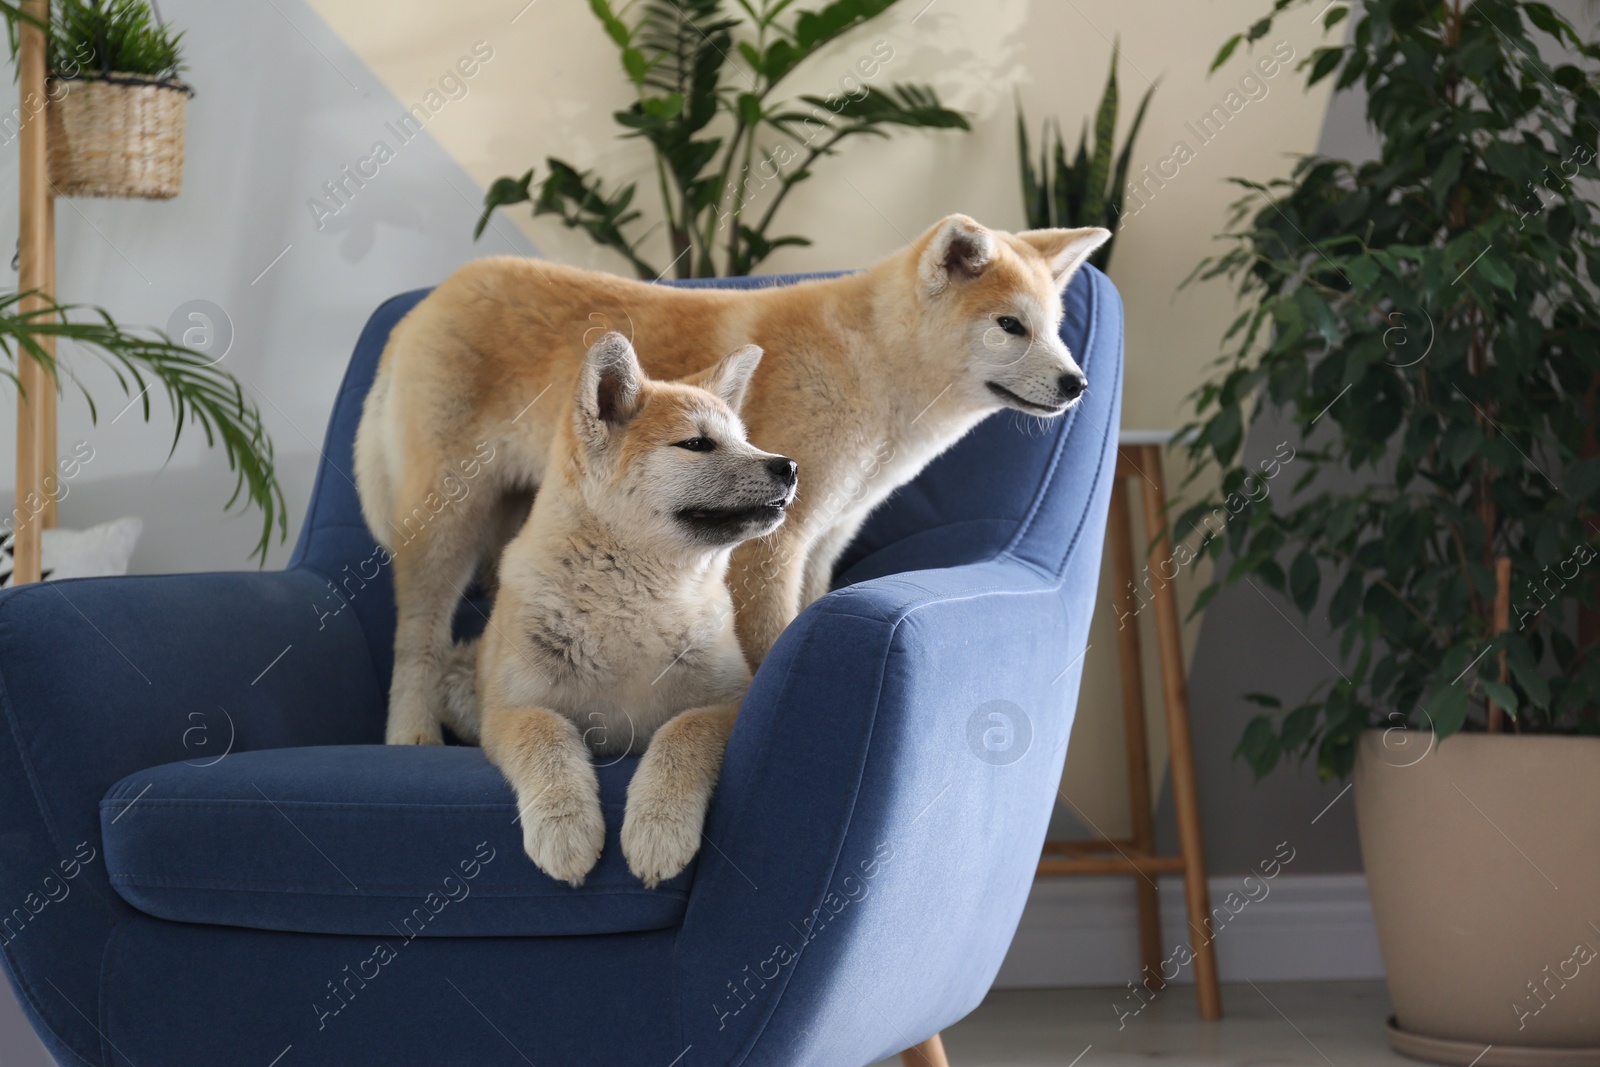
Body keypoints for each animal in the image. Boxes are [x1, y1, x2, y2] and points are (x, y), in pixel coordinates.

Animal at [355, 212, 1107, 748]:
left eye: (1055, 329)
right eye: (1010, 326)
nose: (1078, 383)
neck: (868, 372)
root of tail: (421, 307)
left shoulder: (821, 545)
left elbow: (802, 624)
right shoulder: (772, 546)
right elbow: (768, 643)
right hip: (444, 526)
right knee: (416, 641)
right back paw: (413, 738)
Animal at [473, 334, 800, 883]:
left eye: (745, 440)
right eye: (697, 444)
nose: (790, 466)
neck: (634, 609)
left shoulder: (732, 701)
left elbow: (681, 732)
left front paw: (658, 826)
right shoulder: (508, 710)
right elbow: (548, 735)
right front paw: (565, 826)